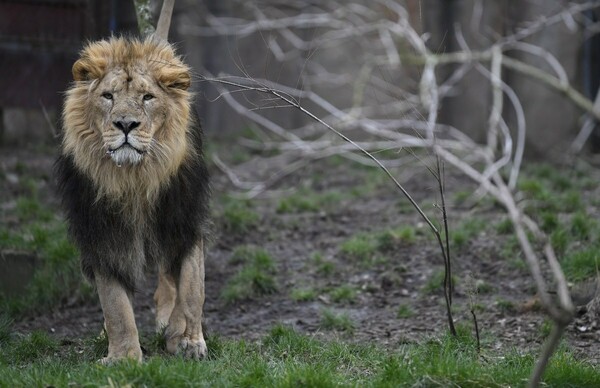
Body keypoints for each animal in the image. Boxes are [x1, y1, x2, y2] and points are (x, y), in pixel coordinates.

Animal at [55, 37, 211, 364]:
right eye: (108, 96)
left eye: (148, 97)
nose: (126, 124)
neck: (134, 178)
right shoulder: (103, 235)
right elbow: (115, 304)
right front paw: (123, 357)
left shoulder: (185, 220)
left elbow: (192, 287)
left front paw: (187, 339)